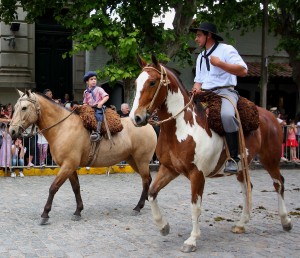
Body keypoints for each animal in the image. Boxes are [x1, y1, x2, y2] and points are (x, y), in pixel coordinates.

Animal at [8, 89, 157, 225]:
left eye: (24, 107)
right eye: (15, 107)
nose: (12, 131)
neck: (63, 127)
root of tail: (148, 124)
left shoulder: (68, 165)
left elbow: (53, 187)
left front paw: (45, 214)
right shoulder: (70, 167)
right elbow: (76, 188)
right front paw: (78, 211)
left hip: (142, 161)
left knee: (145, 180)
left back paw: (138, 207)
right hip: (133, 160)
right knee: (147, 179)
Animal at [130, 55, 292, 253]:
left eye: (152, 82)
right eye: (137, 83)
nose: (136, 118)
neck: (182, 128)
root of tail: (271, 116)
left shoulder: (197, 175)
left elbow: (195, 206)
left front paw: (191, 240)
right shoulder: (169, 169)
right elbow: (152, 192)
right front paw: (163, 226)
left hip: (270, 159)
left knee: (279, 184)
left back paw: (286, 221)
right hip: (242, 166)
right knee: (248, 187)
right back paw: (241, 224)